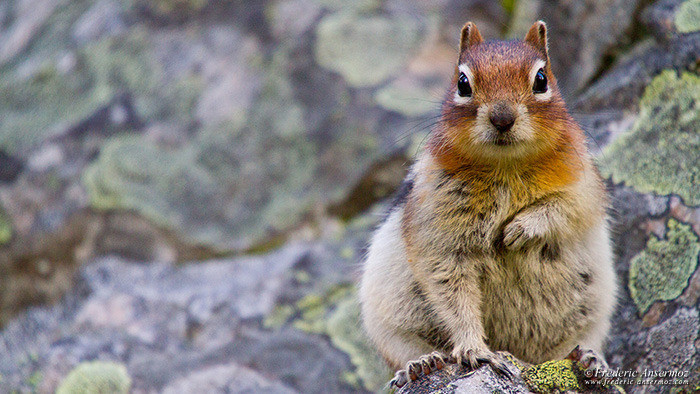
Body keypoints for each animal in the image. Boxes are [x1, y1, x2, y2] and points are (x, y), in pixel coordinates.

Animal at [360, 20, 616, 386]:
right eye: (463, 83)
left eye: (541, 79)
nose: (502, 117)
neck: (505, 165)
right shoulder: (439, 226)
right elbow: (453, 295)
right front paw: (475, 350)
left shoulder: (584, 184)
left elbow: (565, 209)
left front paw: (519, 229)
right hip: (388, 322)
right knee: (405, 349)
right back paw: (422, 364)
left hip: (593, 311)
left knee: (573, 344)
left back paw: (587, 357)